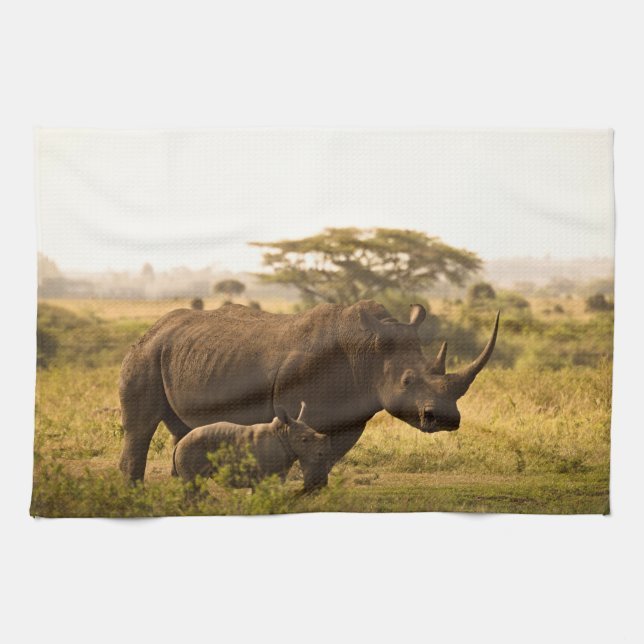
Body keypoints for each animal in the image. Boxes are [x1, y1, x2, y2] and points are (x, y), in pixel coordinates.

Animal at [119, 299, 499, 482]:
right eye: (406, 381)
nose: (447, 420)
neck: (367, 351)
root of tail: (155, 327)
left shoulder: (351, 416)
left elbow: (325, 459)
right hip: (145, 354)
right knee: (140, 428)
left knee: (181, 429)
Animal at [172, 402, 331, 491]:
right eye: (304, 440)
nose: (323, 453)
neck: (284, 433)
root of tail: (178, 444)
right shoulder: (264, 476)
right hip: (191, 449)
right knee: (195, 485)